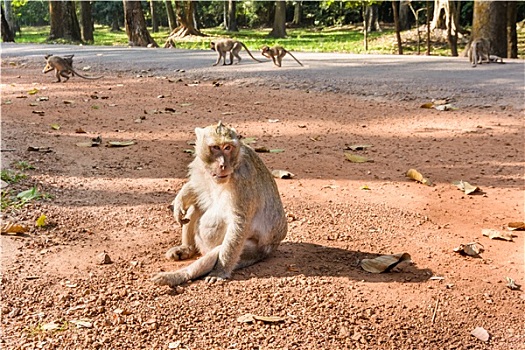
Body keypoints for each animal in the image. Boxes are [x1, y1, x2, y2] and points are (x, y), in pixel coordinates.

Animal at [151, 121, 286, 288]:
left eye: (228, 148)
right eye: (215, 147)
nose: (223, 165)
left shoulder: (244, 180)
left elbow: (239, 222)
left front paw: (220, 271)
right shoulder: (199, 165)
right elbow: (196, 187)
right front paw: (179, 200)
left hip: (255, 252)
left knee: (219, 250)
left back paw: (179, 275)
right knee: (198, 205)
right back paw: (186, 249)